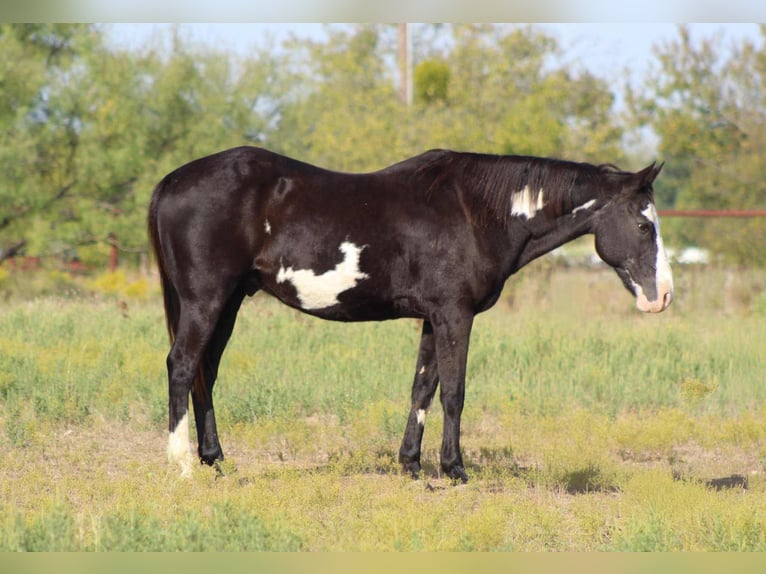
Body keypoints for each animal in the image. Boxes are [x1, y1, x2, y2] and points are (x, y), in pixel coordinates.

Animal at [148, 146, 673, 482]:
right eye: (643, 224)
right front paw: (455, 468)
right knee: (182, 366)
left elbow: (423, 388)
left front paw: (412, 464)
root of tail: (172, 180)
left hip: (229, 301)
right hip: (206, 299)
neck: (477, 212)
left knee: (205, 373)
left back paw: (216, 460)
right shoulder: (455, 315)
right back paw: (181, 464)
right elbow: (454, 392)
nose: (663, 296)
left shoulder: (433, 318)